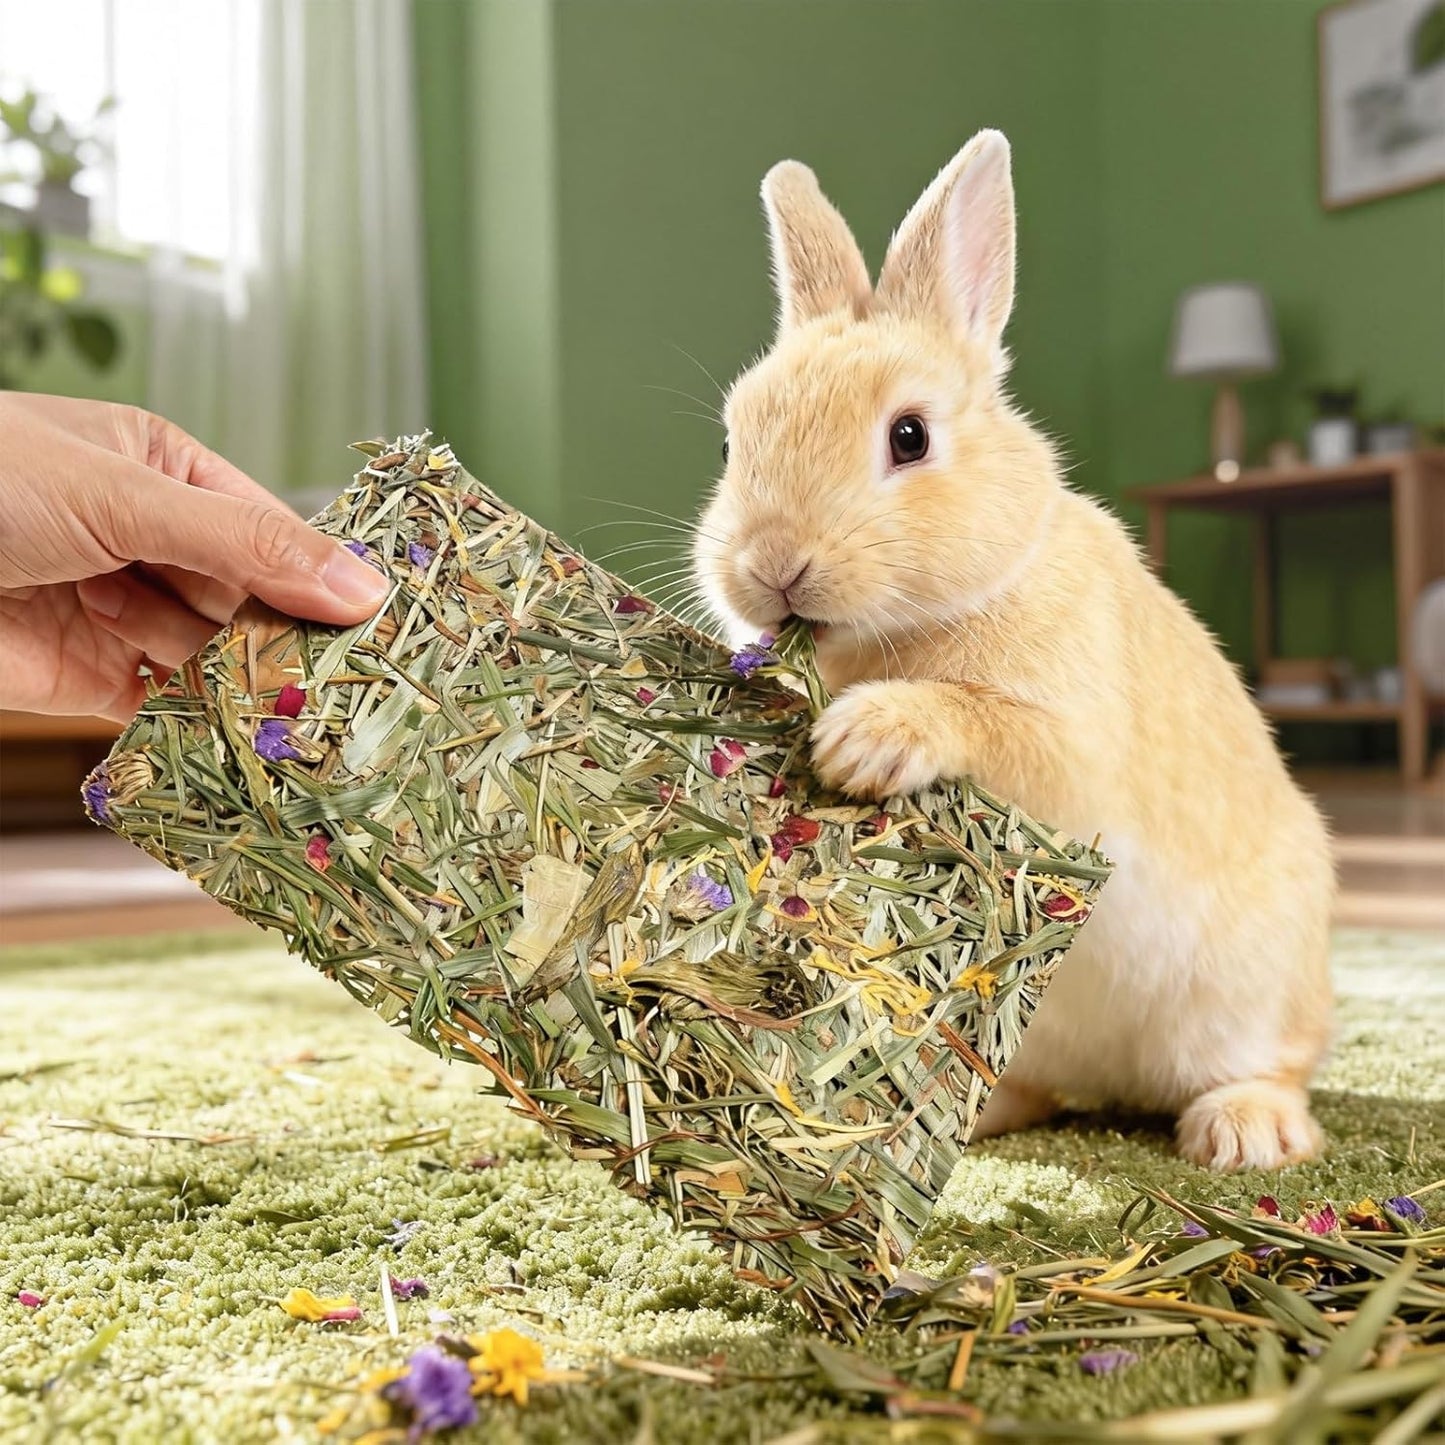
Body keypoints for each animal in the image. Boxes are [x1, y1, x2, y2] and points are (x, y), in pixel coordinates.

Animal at [693, 130, 1335, 1171]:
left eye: (909, 436)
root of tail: (1119, 1081)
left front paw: (864, 739)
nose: (772, 565)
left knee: (1271, 1065)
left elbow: (998, 728)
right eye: (726, 444)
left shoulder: (1076, 752)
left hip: (1259, 988)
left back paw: (1243, 1131)